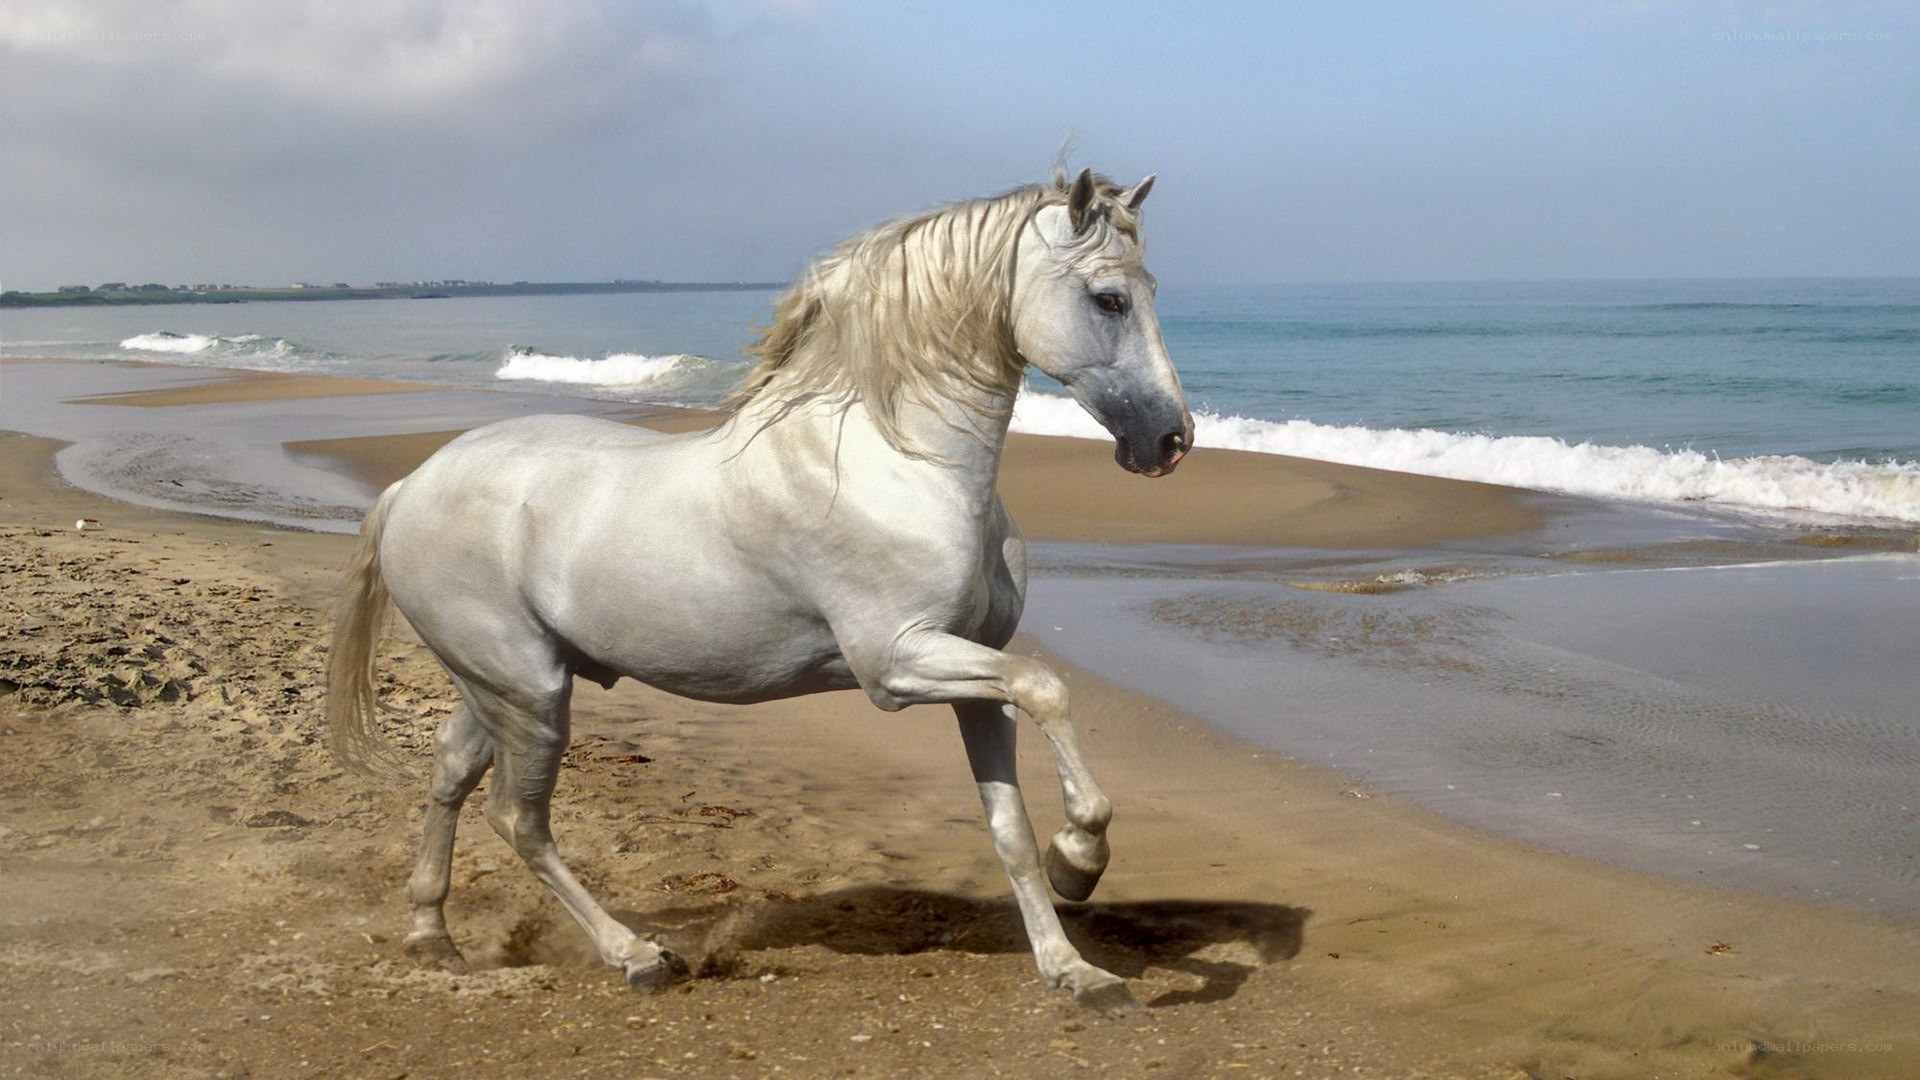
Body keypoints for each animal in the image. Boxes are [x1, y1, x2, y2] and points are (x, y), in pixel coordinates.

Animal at [326, 167, 1193, 1011]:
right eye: (1109, 298)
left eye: (1151, 287)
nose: (1170, 439)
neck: (899, 461)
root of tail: (408, 487)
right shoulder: (896, 664)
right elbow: (1050, 689)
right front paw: (1079, 858)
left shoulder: (975, 674)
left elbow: (1009, 824)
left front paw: (1074, 969)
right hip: (530, 692)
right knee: (519, 819)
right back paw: (636, 956)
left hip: (499, 686)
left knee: (450, 774)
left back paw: (432, 935)